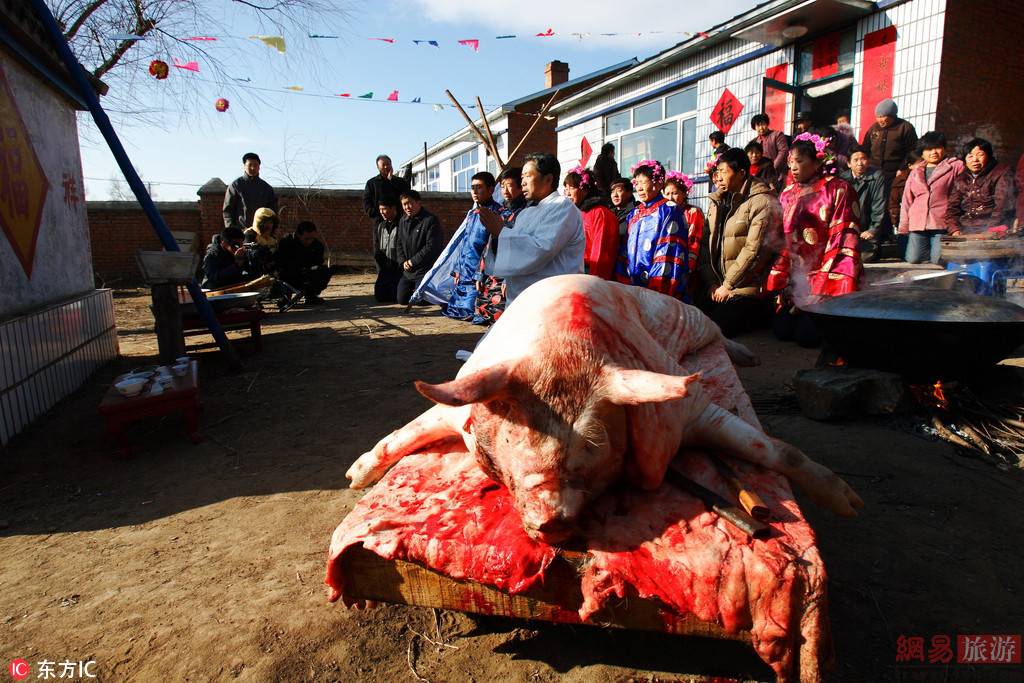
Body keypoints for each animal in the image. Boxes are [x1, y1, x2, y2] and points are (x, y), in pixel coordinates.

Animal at [348, 274, 860, 540]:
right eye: (516, 432)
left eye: (594, 447)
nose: (552, 518)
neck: (564, 350)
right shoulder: (462, 397)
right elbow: (406, 430)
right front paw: (354, 477)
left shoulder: (690, 408)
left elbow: (777, 449)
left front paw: (850, 505)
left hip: (682, 314)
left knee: (716, 328)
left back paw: (747, 357)